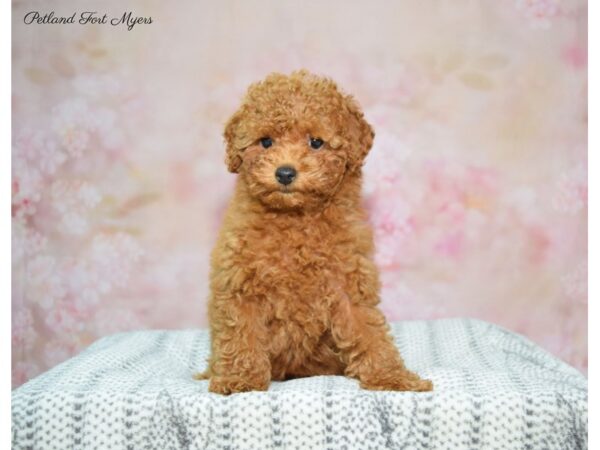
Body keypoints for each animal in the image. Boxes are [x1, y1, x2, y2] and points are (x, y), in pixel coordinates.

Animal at [195, 69, 434, 394]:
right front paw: (239, 378)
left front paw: (391, 376)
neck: (295, 220)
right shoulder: (239, 285)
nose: (285, 172)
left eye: (316, 142)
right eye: (266, 141)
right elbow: (241, 332)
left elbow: (369, 331)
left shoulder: (349, 285)